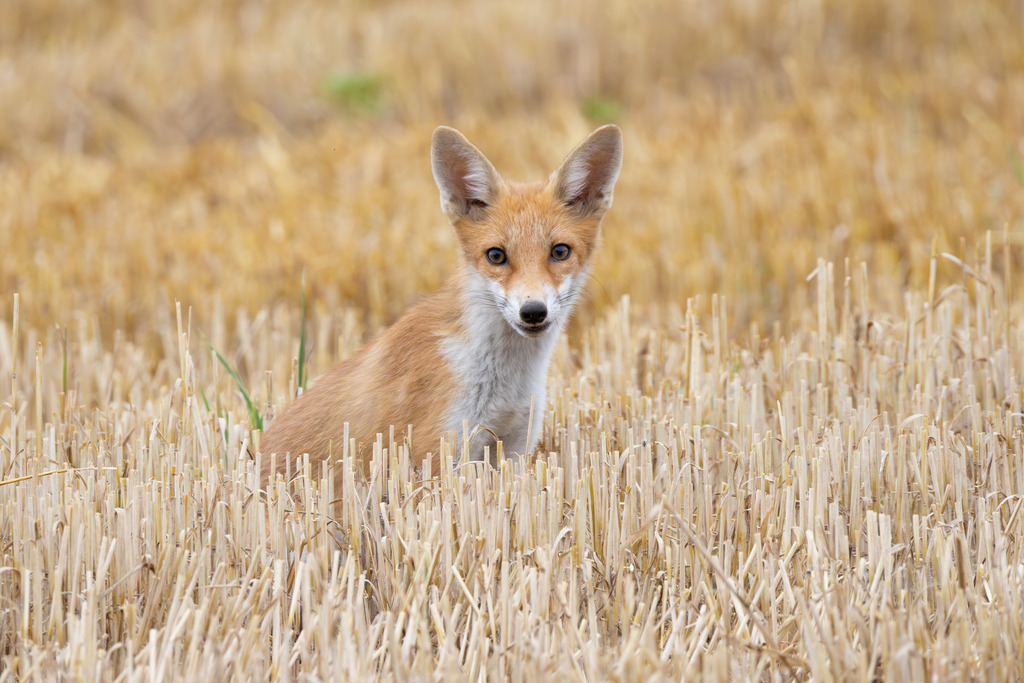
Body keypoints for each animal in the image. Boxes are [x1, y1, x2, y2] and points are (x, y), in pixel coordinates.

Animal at [258, 124, 623, 485]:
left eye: (560, 251)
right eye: (496, 255)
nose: (533, 311)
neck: (505, 378)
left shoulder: (513, 448)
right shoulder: (436, 456)